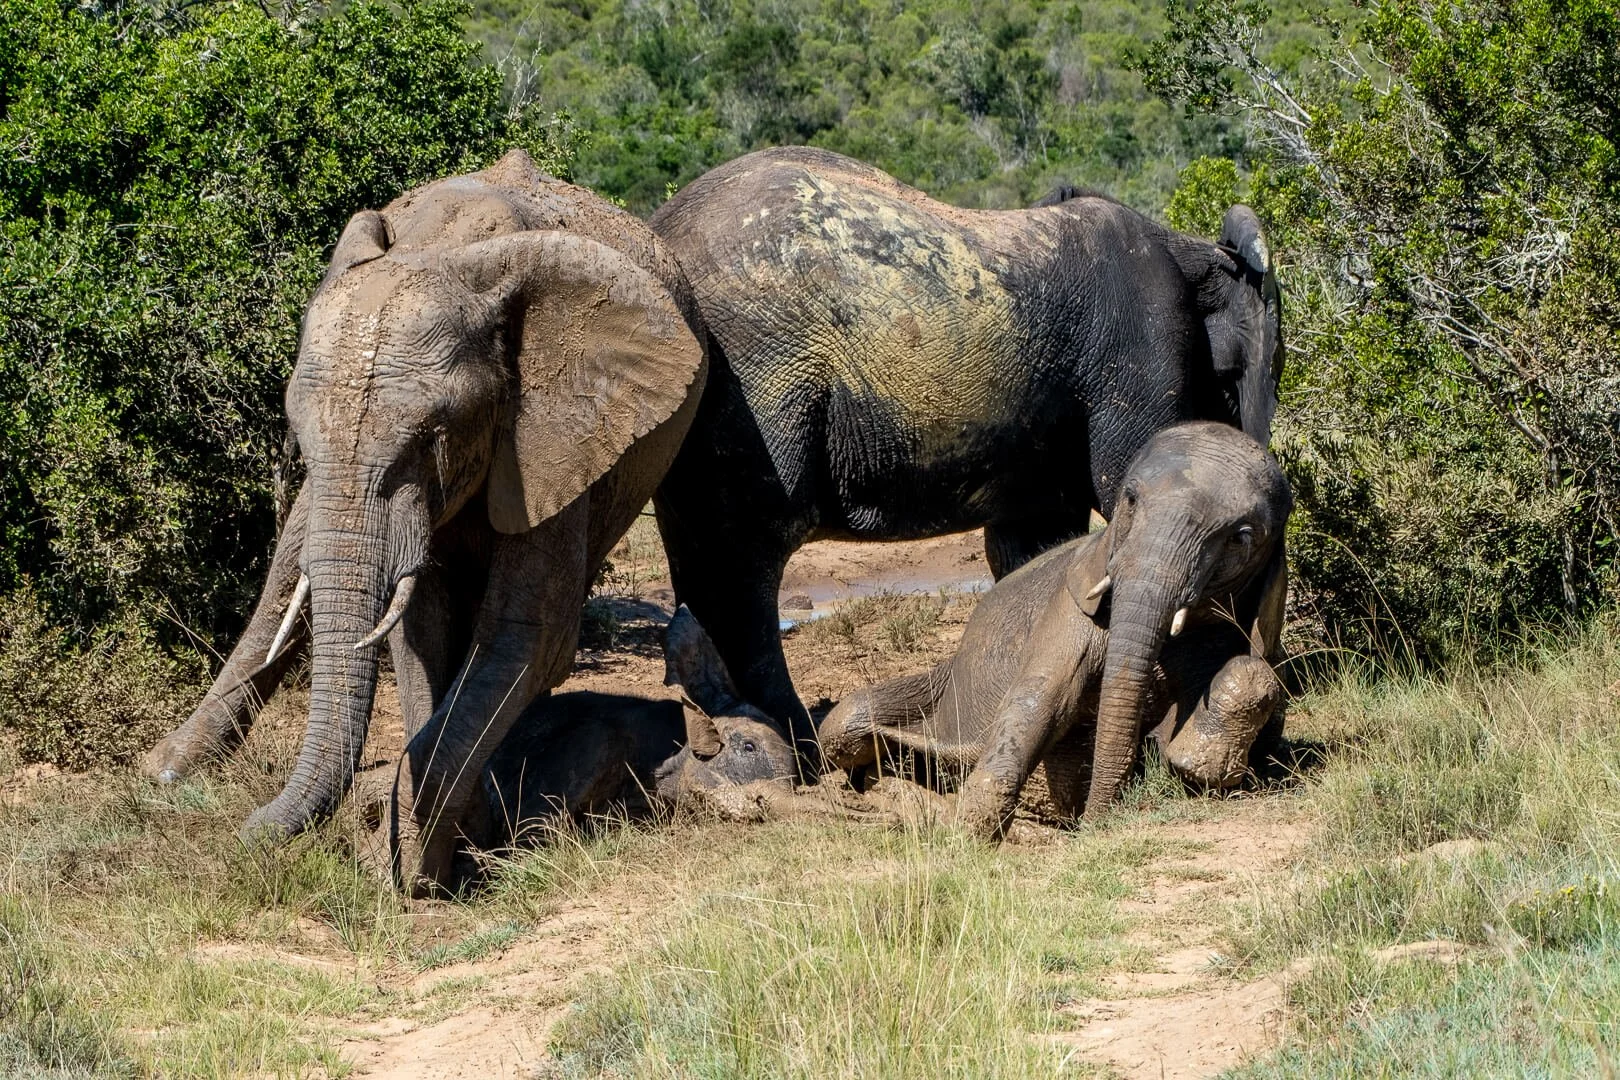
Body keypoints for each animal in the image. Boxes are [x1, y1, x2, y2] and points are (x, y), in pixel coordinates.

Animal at [140, 149, 709, 893]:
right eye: (298, 437)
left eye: (431, 436)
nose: (248, 834)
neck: (453, 256)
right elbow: (420, 631)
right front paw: (433, 860)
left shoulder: (556, 431)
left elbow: (528, 636)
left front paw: (426, 866)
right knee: (290, 568)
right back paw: (163, 773)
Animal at [648, 146, 1283, 774]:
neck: (1193, 252)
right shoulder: (1140, 348)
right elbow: (1118, 479)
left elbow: (1032, 543)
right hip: (753, 386)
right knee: (746, 561)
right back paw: (796, 748)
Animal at [816, 422, 1292, 836]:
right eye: (1130, 499)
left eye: (1240, 537)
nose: (1096, 822)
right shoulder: (1071, 606)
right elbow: (1040, 699)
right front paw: (968, 837)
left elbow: (1258, 676)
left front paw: (1192, 761)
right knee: (846, 726)